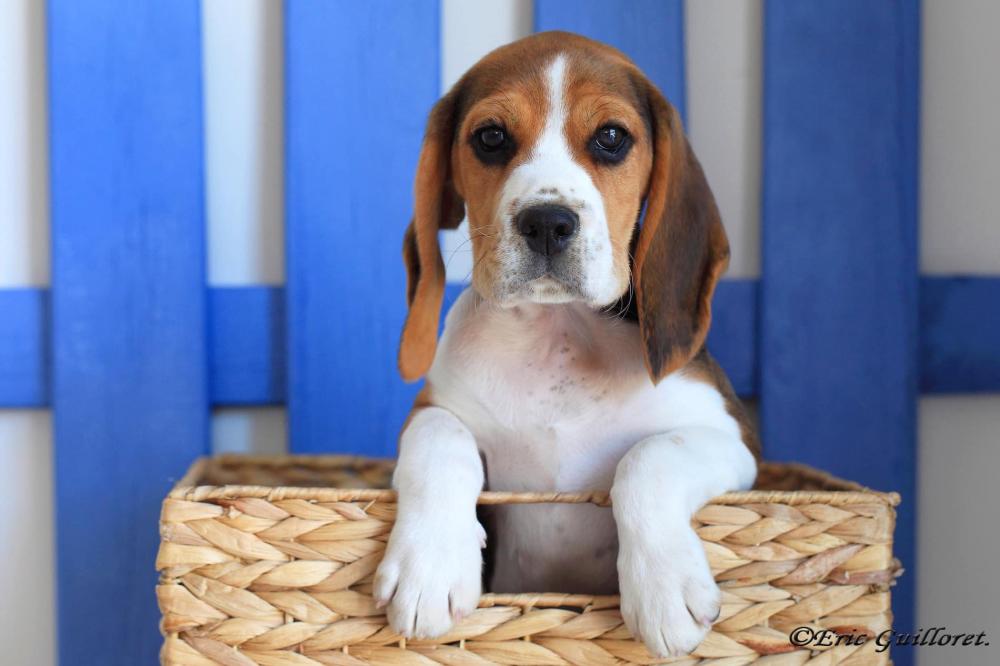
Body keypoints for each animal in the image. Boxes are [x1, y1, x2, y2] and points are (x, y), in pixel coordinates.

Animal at [373, 31, 760, 658]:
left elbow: (647, 457)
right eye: (490, 137)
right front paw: (428, 567)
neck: (555, 330)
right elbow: (439, 441)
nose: (548, 222)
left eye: (611, 137)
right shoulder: (431, 409)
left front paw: (664, 590)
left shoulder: (732, 439)